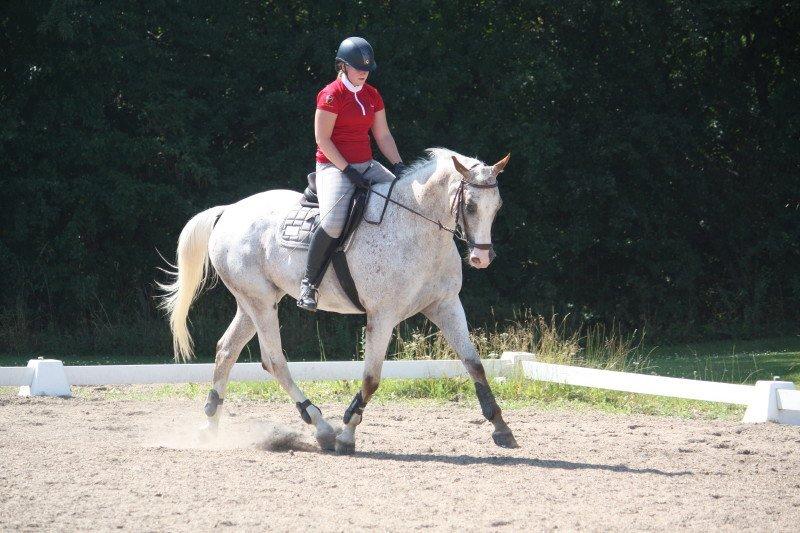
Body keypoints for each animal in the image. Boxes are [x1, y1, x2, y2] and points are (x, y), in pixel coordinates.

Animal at [157, 147, 520, 454]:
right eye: (470, 206)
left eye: (498, 206)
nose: (482, 258)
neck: (416, 227)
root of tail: (229, 211)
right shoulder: (382, 316)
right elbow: (371, 378)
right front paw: (347, 434)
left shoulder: (445, 305)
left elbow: (474, 363)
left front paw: (501, 428)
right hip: (259, 302)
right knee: (273, 361)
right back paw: (322, 428)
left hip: (253, 302)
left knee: (226, 350)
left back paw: (210, 425)